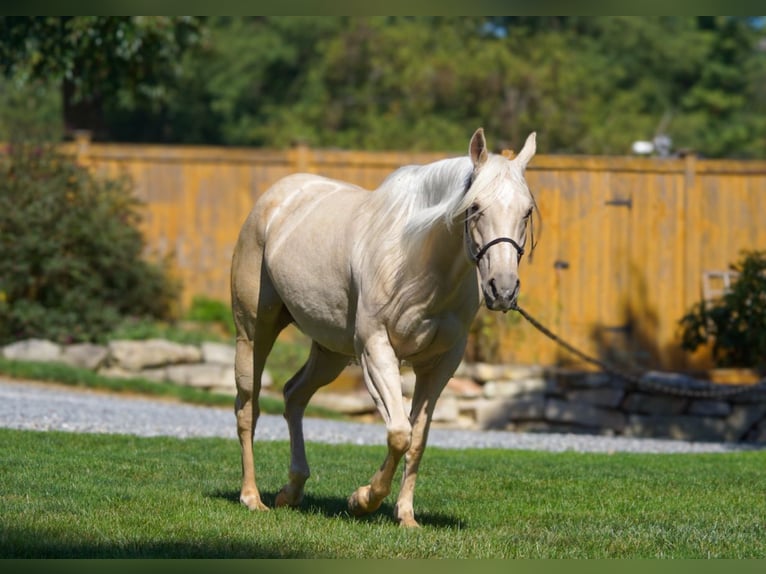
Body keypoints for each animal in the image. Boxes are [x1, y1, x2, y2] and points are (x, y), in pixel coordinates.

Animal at [230, 128, 537, 527]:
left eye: (526, 211)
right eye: (475, 207)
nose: (502, 289)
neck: (415, 262)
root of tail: (274, 199)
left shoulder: (440, 364)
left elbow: (417, 438)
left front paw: (405, 516)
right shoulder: (376, 350)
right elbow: (398, 433)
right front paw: (363, 500)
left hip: (331, 351)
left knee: (294, 395)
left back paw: (291, 491)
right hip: (254, 333)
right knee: (247, 407)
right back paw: (252, 497)